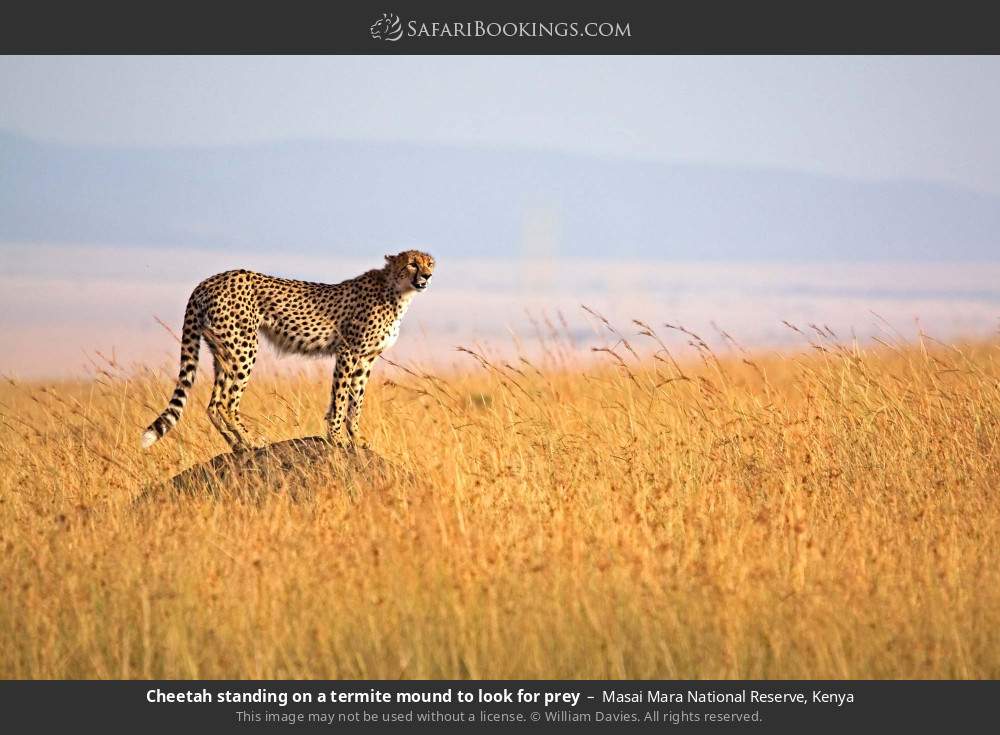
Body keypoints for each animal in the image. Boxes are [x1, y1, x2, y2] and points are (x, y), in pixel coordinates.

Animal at [141, 250, 434, 452]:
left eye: (430, 263)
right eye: (412, 263)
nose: (427, 276)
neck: (397, 291)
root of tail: (208, 281)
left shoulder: (365, 359)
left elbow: (355, 401)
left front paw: (356, 438)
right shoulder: (348, 351)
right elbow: (340, 399)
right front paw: (337, 438)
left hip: (222, 350)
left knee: (214, 404)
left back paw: (237, 445)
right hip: (244, 346)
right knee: (227, 402)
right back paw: (252, 441)